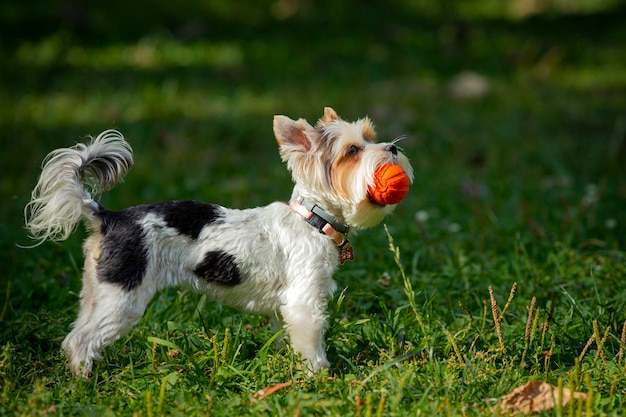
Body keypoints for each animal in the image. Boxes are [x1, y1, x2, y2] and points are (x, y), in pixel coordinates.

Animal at [24, 106, 412, 374]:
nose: (392, 148)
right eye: (352, 151)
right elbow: (311, 342)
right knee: (81, 340)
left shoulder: (282, 307)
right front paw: (319, 377)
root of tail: (107, 215)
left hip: (97, 291)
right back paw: (85, 382)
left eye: (371, 136)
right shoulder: (305, 302)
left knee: (74, 334)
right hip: (124, 299)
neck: (311, 220)